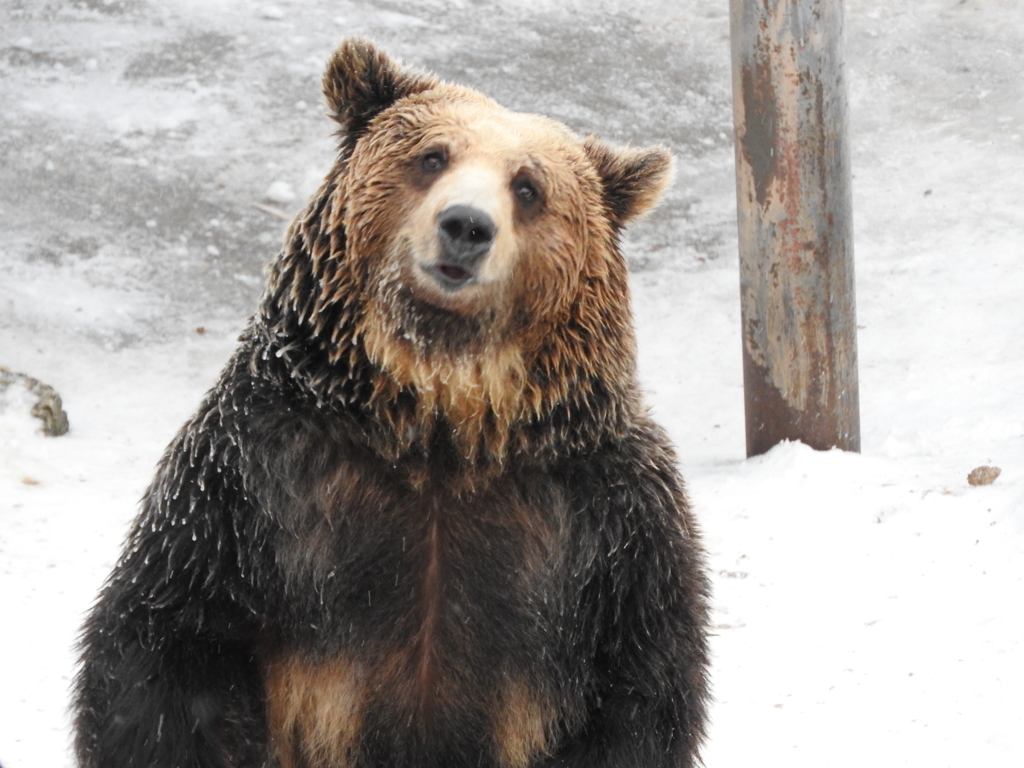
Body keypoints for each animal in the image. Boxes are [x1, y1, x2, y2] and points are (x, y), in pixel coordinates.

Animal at [74, 40, 712, 768]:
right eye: (432, 156)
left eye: (528, 186)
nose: (466, 225)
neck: (440, 422)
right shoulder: (251, 481)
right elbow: (168, 643)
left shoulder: (606, 521)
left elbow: (639, 686)